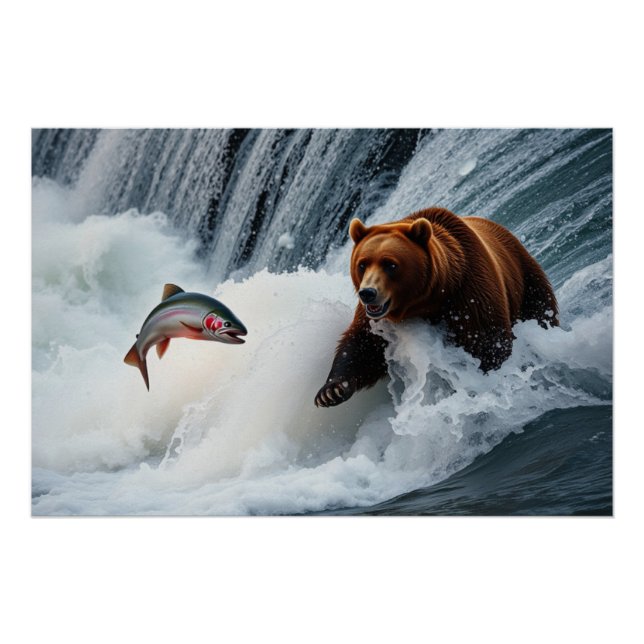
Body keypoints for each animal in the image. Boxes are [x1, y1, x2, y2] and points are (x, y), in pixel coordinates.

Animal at [314, 207, 558, 408]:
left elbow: (485, 339)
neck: (426, 300)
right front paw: (331, 392)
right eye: (362, 264)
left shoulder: (469, 291)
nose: (368, 293)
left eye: (390, 264)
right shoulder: (377, 319)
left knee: (541, 312)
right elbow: (362, 347)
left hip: (527, 279)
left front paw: (485, 375)